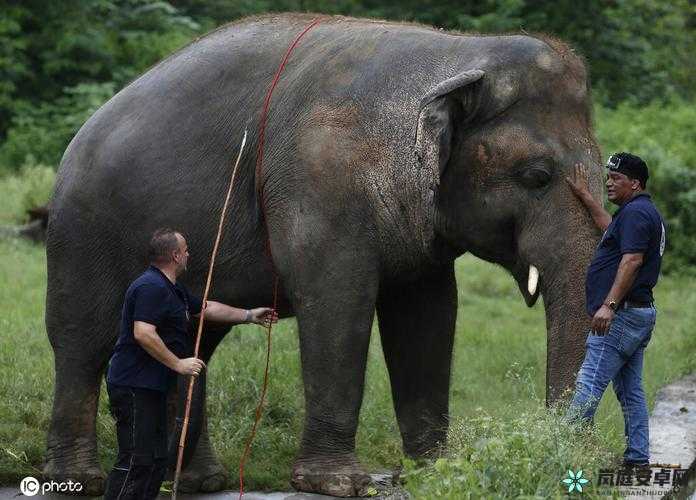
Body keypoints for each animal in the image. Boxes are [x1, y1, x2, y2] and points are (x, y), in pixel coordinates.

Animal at [46, 11, 608, 496]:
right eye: (536, 176)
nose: (569, 464)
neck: (456, 53)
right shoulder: (319, 182)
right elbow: (338, 302)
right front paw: (339, 484)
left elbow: (428, 315)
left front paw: (437, 473)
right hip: (80, 233)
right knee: (81, 342)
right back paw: (81, 480)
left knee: (193, 339)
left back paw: (200, 481)